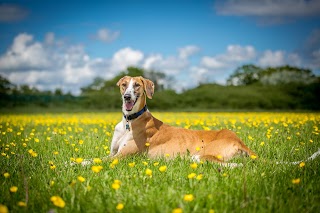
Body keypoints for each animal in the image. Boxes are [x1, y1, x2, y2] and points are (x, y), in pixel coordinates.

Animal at [110, 75, 258, 162]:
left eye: (137, 85)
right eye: (124, 84)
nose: (127, 97)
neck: (129, 121)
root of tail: (239, 141)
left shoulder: (121, 156)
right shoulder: (113, 153)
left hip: (200, 155)